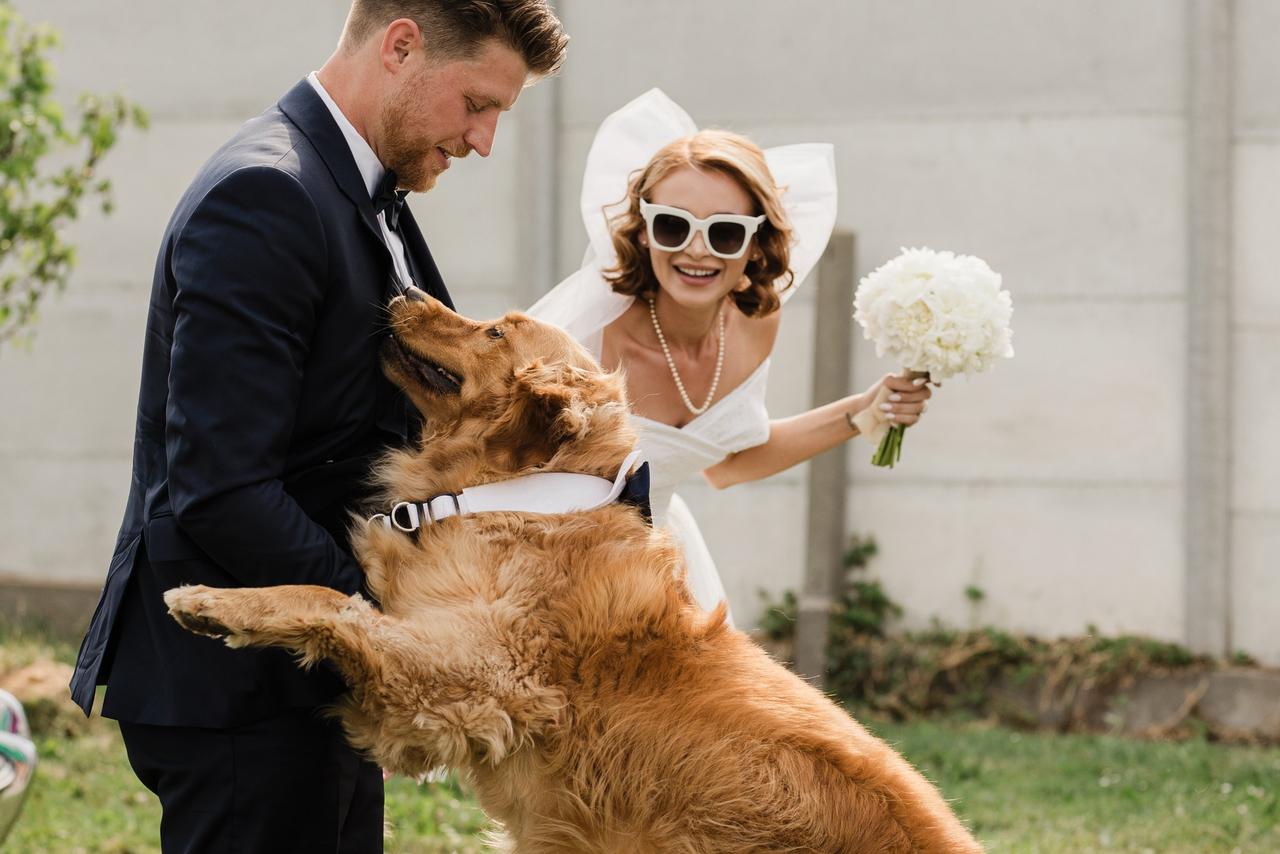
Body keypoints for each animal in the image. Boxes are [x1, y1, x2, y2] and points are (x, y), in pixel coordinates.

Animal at [165, 295, 983, 854]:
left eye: (495, 331)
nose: (400, 292)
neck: (521, 496)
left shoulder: (475, 680)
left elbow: (326, 599)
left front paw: (213, 602)